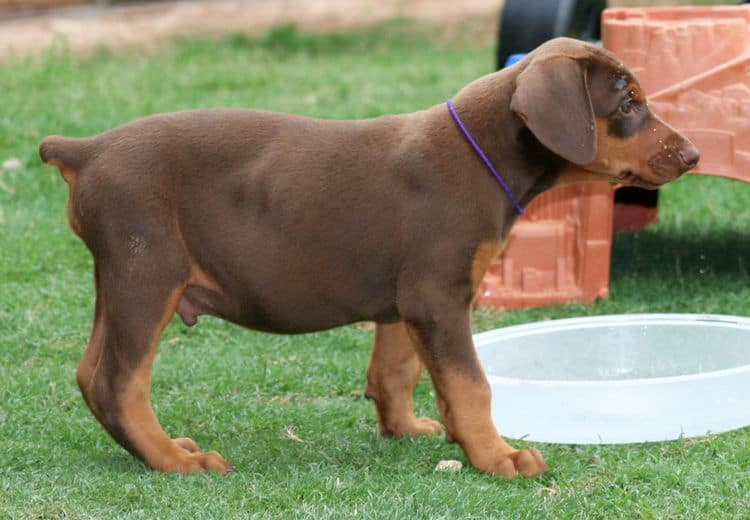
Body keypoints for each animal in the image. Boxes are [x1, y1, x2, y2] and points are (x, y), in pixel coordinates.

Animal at [39, 36, 700, 478]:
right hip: (147, 272)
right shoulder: (439, 297)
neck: (482, 156)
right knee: (118, 382)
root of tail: (85, 150)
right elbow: (471, 386)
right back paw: (175, 461)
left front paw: (406, 430)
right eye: (629, 103)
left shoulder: (409, 299)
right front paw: (497, 456)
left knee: (89, 373)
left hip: (117, 279)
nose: (692, 154)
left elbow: (398, 370)